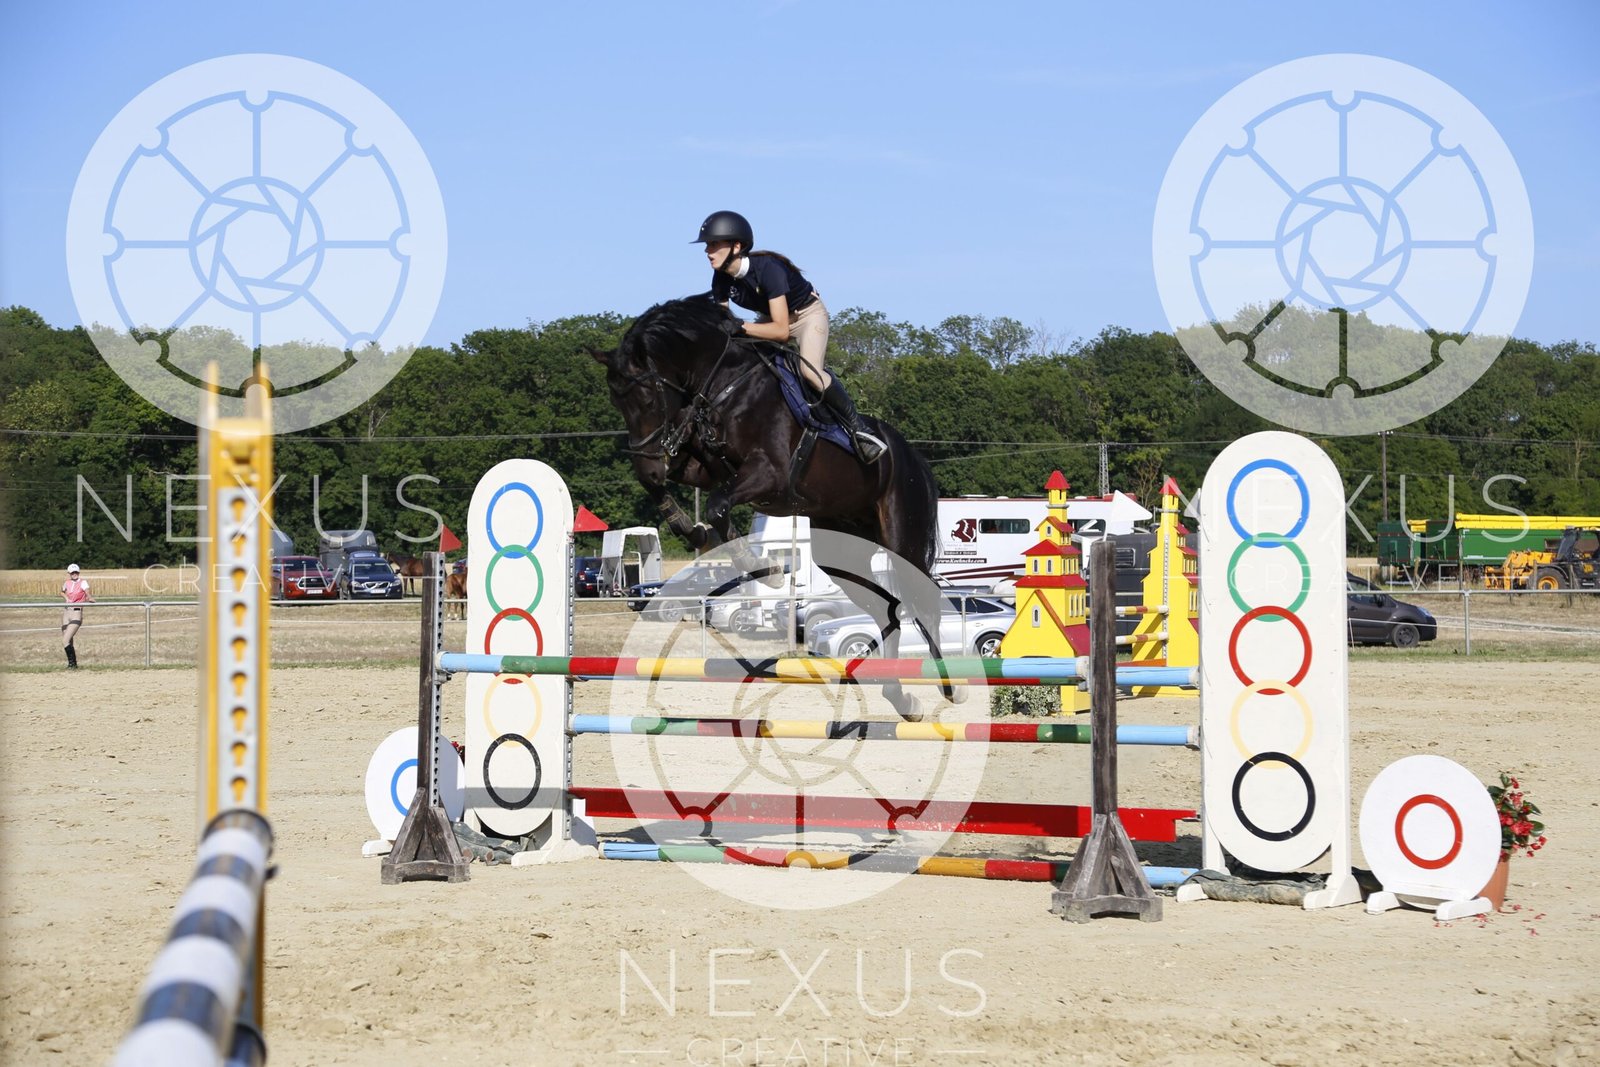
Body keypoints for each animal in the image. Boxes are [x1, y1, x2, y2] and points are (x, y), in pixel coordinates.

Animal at [590, 296, 948, 720]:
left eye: (646, 397)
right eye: (616, 401)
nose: (648, 463)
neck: (724, 385)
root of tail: (911, 455)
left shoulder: (770, 473)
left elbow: (717, 505)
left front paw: (765, 568)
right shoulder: (706, 467)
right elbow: (687, 492)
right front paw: (689, 528)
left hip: (900, 535)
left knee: (921, 598)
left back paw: (950, 687)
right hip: (843, 550)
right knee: (885, 608)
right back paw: (902, 698)